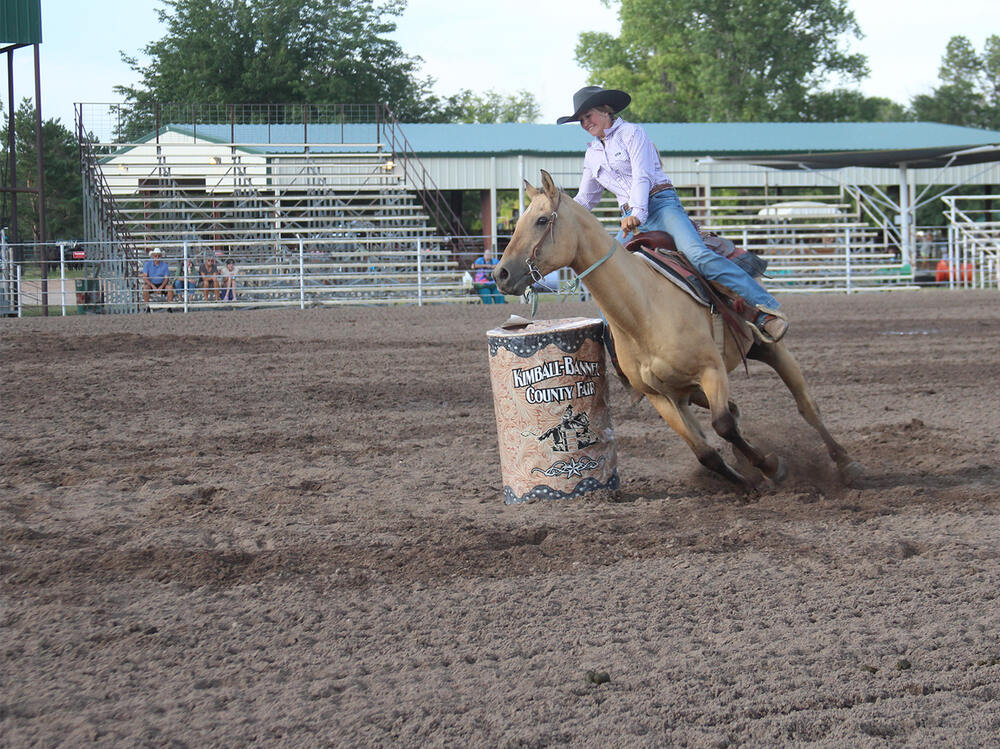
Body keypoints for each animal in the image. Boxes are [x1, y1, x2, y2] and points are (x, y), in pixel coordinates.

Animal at [492, 172, 860, 494]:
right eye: (517, 223)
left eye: (542, 220)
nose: (501, 273)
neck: (644, 312)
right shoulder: (660, 397)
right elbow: (705, 452)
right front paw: (748, 483)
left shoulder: (711, 371)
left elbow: (723, 425)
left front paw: (773, 467)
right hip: (687, 391)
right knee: (734, 413)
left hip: (765, 347)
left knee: (806, 406)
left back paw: (846, 464)